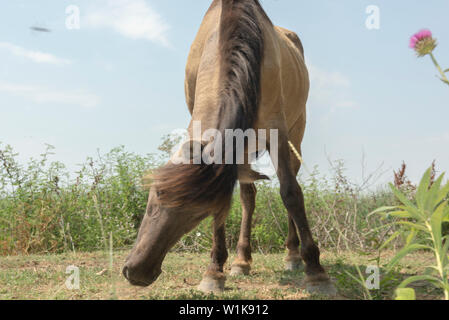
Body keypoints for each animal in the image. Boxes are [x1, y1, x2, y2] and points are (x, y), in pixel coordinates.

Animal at [122, 0, 336, 298]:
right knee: (248, 196)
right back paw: (241, 260)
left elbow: (291, 193)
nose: (136, 271)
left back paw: (292, 256)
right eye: (155, 195)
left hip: (296, 133)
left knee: (289, 184)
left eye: (196, 214)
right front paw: (214, 271)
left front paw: (316, 271)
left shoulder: (279, 133)